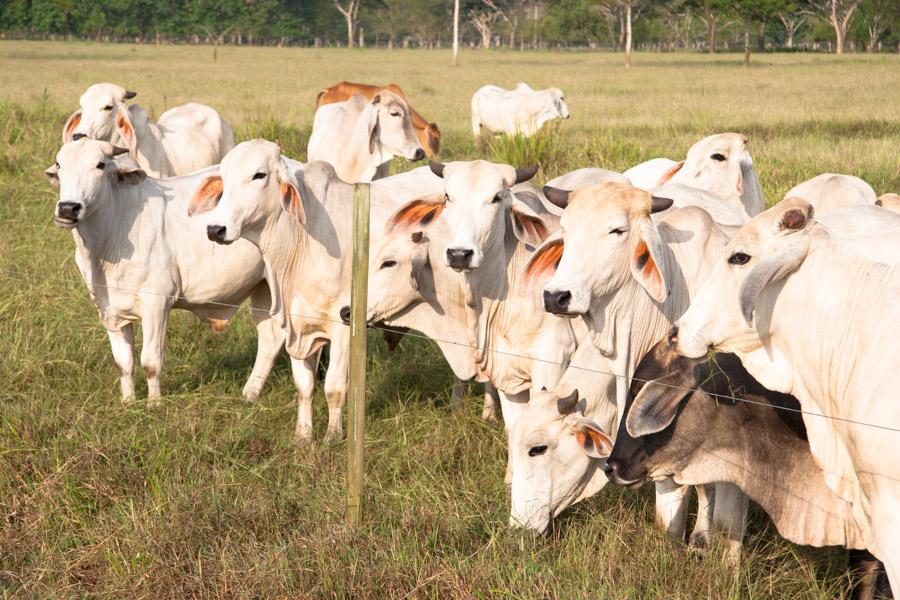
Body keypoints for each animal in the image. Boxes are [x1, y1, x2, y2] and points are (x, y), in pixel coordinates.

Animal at [44, 137, 282, 404]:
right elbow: (123, 363)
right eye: (59, 164)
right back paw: (250, 393)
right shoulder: (108, 306)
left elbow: (150, 361)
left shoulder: (157, 303)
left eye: (100, 164)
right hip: (265, 288)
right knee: (271, 337)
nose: (68, 208)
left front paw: (154, 403)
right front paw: (128, 402)